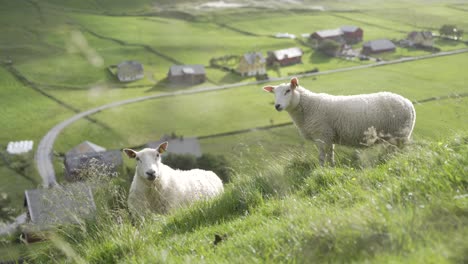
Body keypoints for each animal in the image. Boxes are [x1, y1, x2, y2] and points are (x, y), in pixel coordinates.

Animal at [264, 76, 416, 166]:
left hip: (400, 134)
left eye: (288, 91)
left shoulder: (321, 135)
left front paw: (321, 169)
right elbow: (330, 153)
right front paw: (332, 167)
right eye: (274, 93)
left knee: (402, 151)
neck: (309, 106)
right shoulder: (329, 135)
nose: (277, 106)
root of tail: (408, 103)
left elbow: (321, 156)